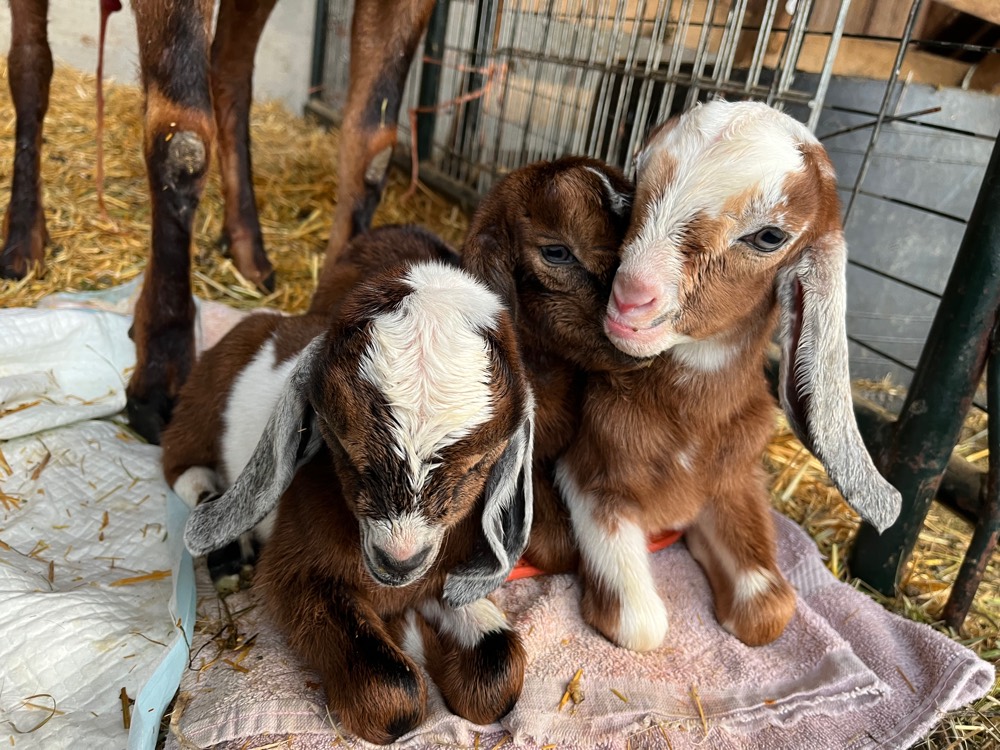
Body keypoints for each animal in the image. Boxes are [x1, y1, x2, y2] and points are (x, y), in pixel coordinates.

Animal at [1, 0, 437, 444]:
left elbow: (372, 153)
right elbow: (183, 142)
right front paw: (161, 371)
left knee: (229, 74)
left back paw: (248, 251)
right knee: (30, 64)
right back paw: (22, 243)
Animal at [161, 224, 533, 745]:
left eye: (478, 465)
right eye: (340, 443)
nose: (398, 562)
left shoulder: (446, 574)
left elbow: (498, 672)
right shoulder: (299, 572)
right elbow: (392, 687)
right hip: (198, 407)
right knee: (182, 468)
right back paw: (229, 554)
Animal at [538, 100, 901, 653]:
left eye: (769, 236)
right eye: (637, 185)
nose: (629, 299)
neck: (692, 421)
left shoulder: (734, 482)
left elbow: (770, 610)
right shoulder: (589, 476)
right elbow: (642, 625)